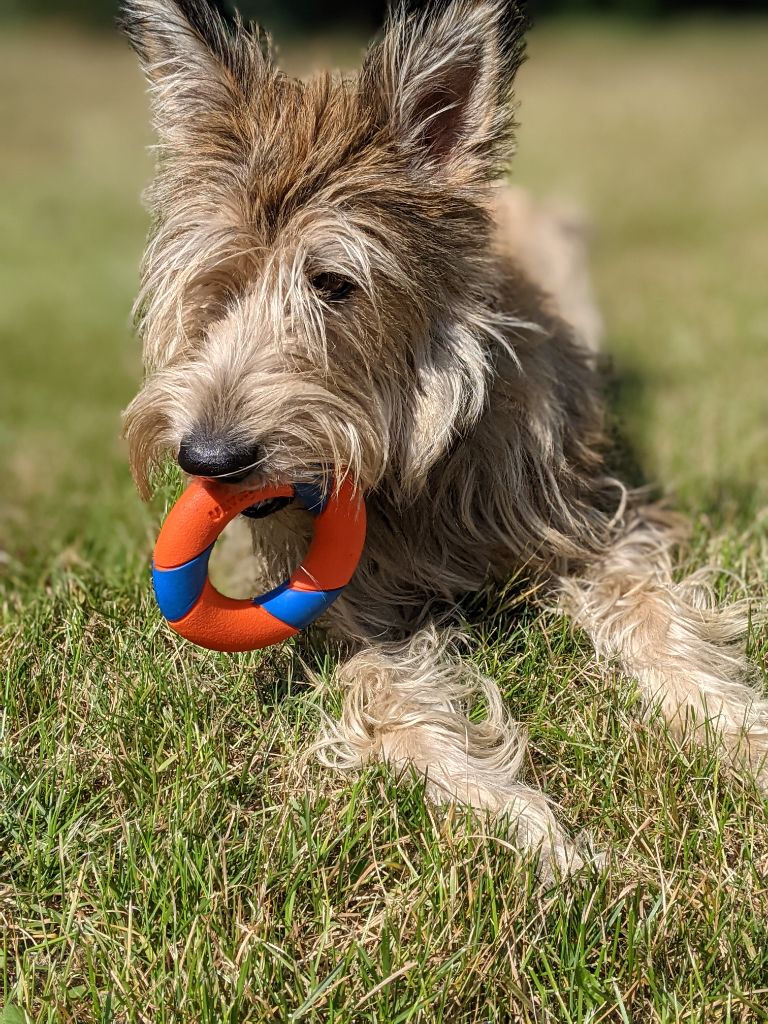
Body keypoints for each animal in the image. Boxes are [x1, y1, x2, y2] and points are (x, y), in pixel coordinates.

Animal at [120, 0, 768, 872]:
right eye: (216, 287)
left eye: (334, 284)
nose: (209, 457)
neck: (413, 471)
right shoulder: (345, 612)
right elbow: (397, 706)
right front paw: (531, 828)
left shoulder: (594, 522)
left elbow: (659, 619)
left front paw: (738, 732)